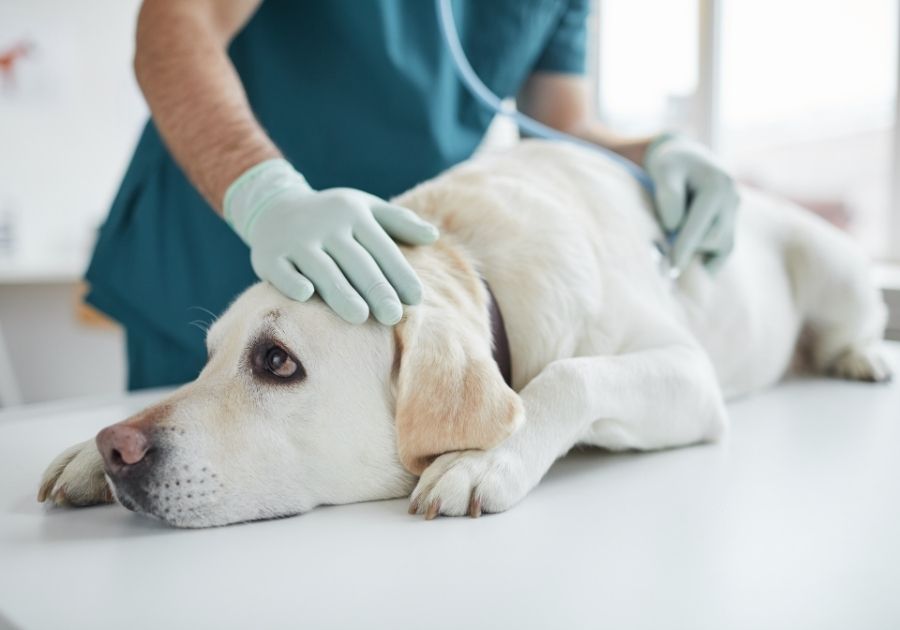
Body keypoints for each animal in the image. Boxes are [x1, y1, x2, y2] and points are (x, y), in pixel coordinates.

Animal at [37, 142, 892, 528]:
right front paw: (82, 454)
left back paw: (862, 356)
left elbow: (568, 375)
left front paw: (483, 459)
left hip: (834, 264)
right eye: (208, 358)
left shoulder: (688, 373)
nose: (117, 448)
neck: (468, 262)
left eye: (276, 361)